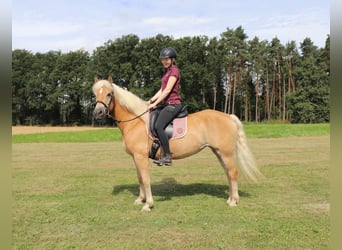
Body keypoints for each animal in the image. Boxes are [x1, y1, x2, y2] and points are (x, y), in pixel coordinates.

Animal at [92, 78, 260, 211]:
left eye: (109, 94)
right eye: (95, 94)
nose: (97, 113)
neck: (136, 121)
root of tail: (229, 117)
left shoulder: (140, 157)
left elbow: (145, 179)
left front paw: (148, 204)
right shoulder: (136, 157)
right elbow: (140, 178)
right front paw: (141, 199)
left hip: (226, 152)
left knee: (233, 172)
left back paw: (234, 201)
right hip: (219, 152)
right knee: (228, 173)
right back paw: (230, 199)